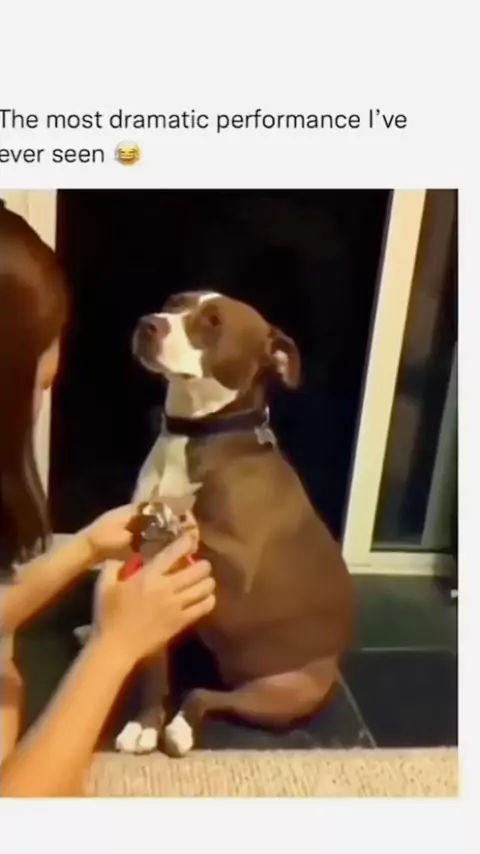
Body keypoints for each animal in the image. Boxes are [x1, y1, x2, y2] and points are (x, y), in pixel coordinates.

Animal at [112, 290, 354, 757]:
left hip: (284, 693)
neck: (198, 433)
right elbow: (154, 668)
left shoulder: (235, 564)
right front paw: (144, 723)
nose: (149, 322)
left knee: (204, 696)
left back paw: (181, 727)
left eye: (213, 322)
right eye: (175, 302)